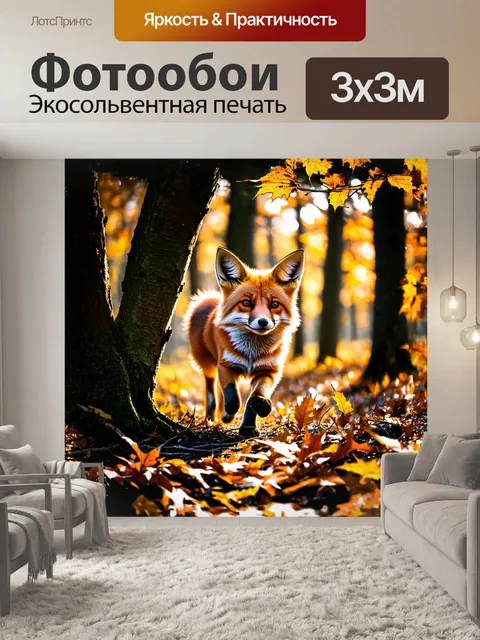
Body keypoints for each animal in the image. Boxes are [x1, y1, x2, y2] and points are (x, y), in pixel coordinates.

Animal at [184, 246, 304, 436]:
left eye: (274, 304)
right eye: (247, 303)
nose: (263, 322)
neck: (252, 353)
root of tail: (210, 299)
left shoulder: (269, 371)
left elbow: (253, 400)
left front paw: (249, 426)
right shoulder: (225, 365)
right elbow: (232, 394)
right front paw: (232, 410)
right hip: (206, 363)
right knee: (211, 389)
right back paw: (212, 416)